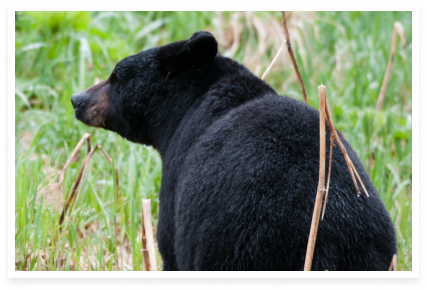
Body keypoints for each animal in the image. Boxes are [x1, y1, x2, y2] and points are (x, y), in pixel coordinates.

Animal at [72, 30, 398, 270]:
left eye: (116, 75)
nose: (77, 99)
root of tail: (330, 233)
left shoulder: (177, 183)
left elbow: (169, 245)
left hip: (240, 245)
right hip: (375, 253)